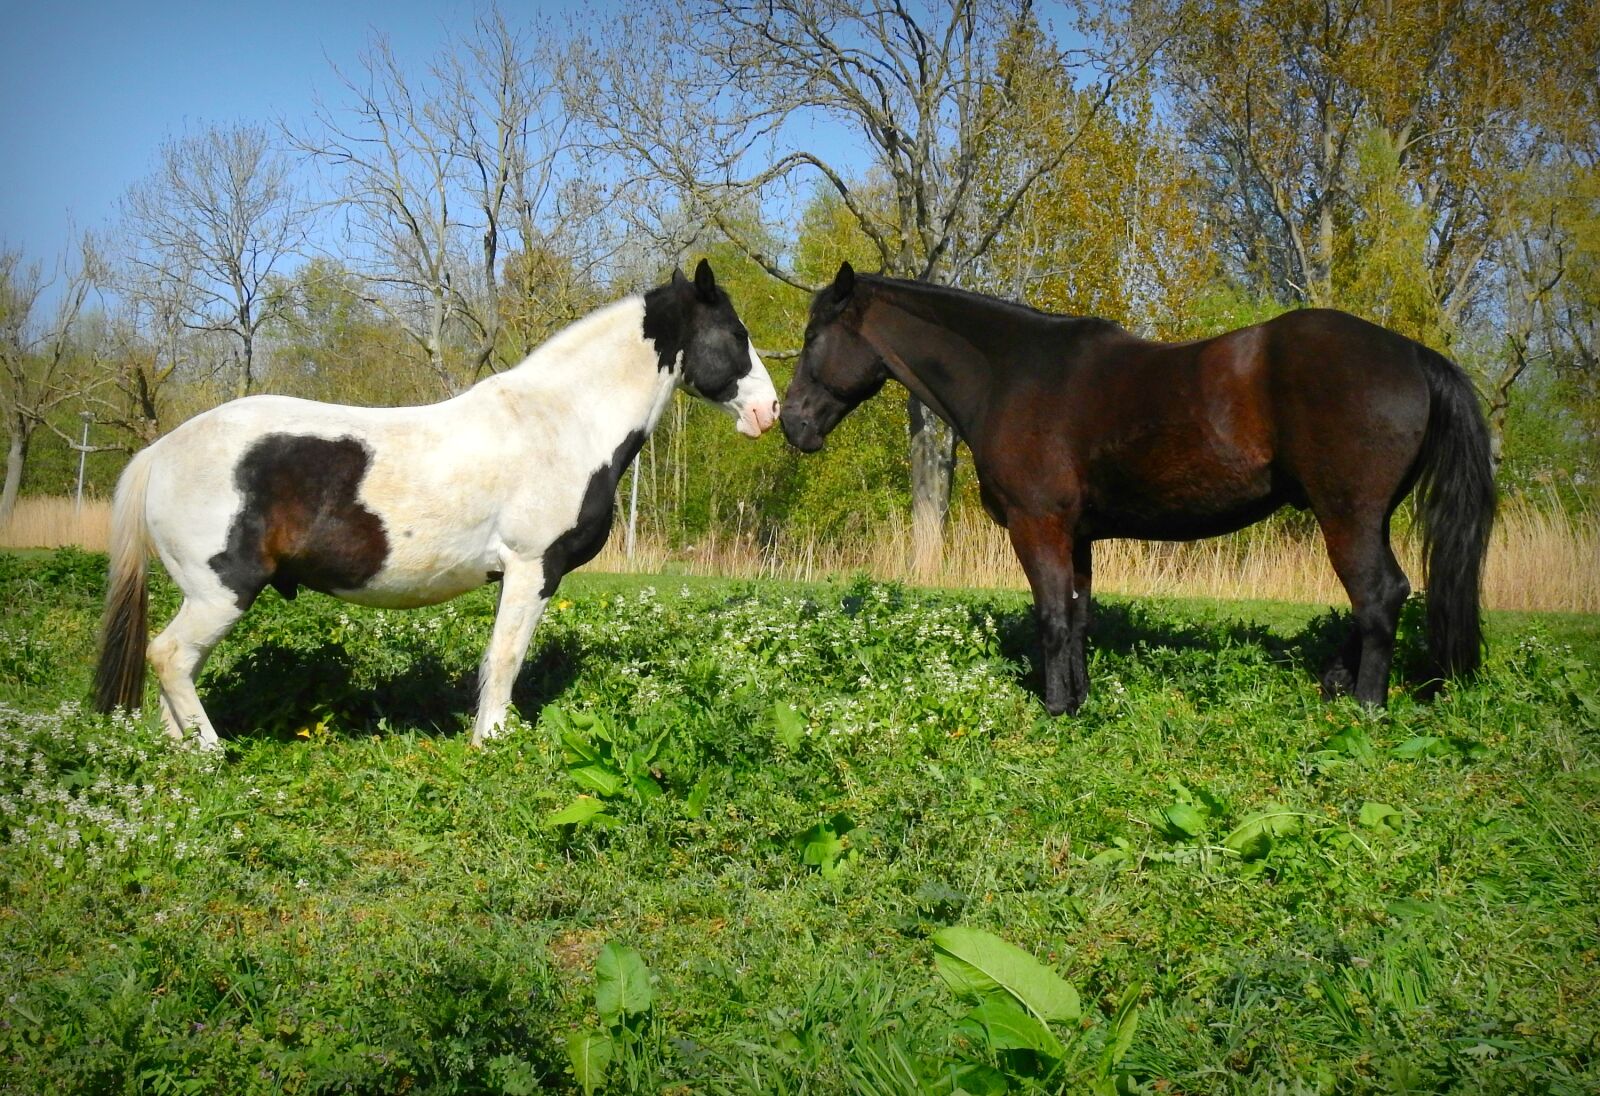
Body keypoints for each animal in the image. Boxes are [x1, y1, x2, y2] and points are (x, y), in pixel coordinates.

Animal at [95, 260, 779, 747]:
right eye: (736, 335)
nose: (769, 412)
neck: (561, 421)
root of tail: (162, 451)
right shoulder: (533, 567)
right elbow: (505, 659)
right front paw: (494, 743)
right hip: (222, 591)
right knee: (170, 657)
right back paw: (212, 755)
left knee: (174, 668)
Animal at [781, 262, 1495, 715]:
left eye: (814, 337)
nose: (790, 423)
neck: (1012, 373)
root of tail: (1413, 354)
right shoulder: (1077, 535)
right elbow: (1077, 615)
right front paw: (1080, 699)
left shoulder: (1036, 524)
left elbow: (1050, 615)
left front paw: (1055, 708)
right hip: (1366, 516)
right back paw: (1336, 685)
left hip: (1347, 513)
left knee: (1378, 595)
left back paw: (1365, 709)